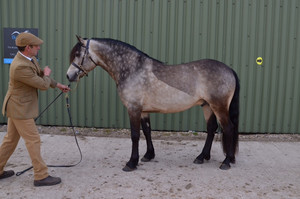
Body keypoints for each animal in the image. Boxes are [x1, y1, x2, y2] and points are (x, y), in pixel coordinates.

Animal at [67, 35, 240, 171]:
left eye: (78, 54)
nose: (69, 76)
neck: (132, 69)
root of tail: (229, 70)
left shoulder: (133, 109)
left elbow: (135, 135)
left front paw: (131, 163)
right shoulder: (143, 111)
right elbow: (147, 131)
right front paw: (148, 155)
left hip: (218, 106)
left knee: (228, 128)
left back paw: (226, 161)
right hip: (207, 106)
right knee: (211, 129)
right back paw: (202, 157)